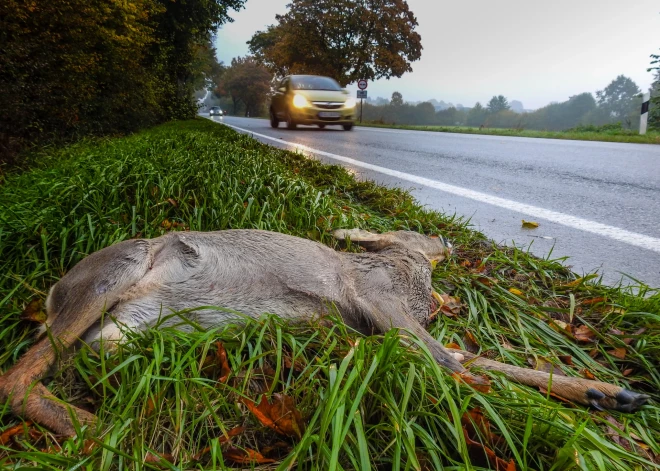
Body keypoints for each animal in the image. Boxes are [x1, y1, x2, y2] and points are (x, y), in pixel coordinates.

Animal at [0, 229, 648, 436]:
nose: (441, 252)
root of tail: (54, 289)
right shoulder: (377, 296)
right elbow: (451, 362)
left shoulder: (378, 320)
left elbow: (465, 356)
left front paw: (608, 392)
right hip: (119, 268)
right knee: (17, 379)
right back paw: (116, 439)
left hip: (120, 330)